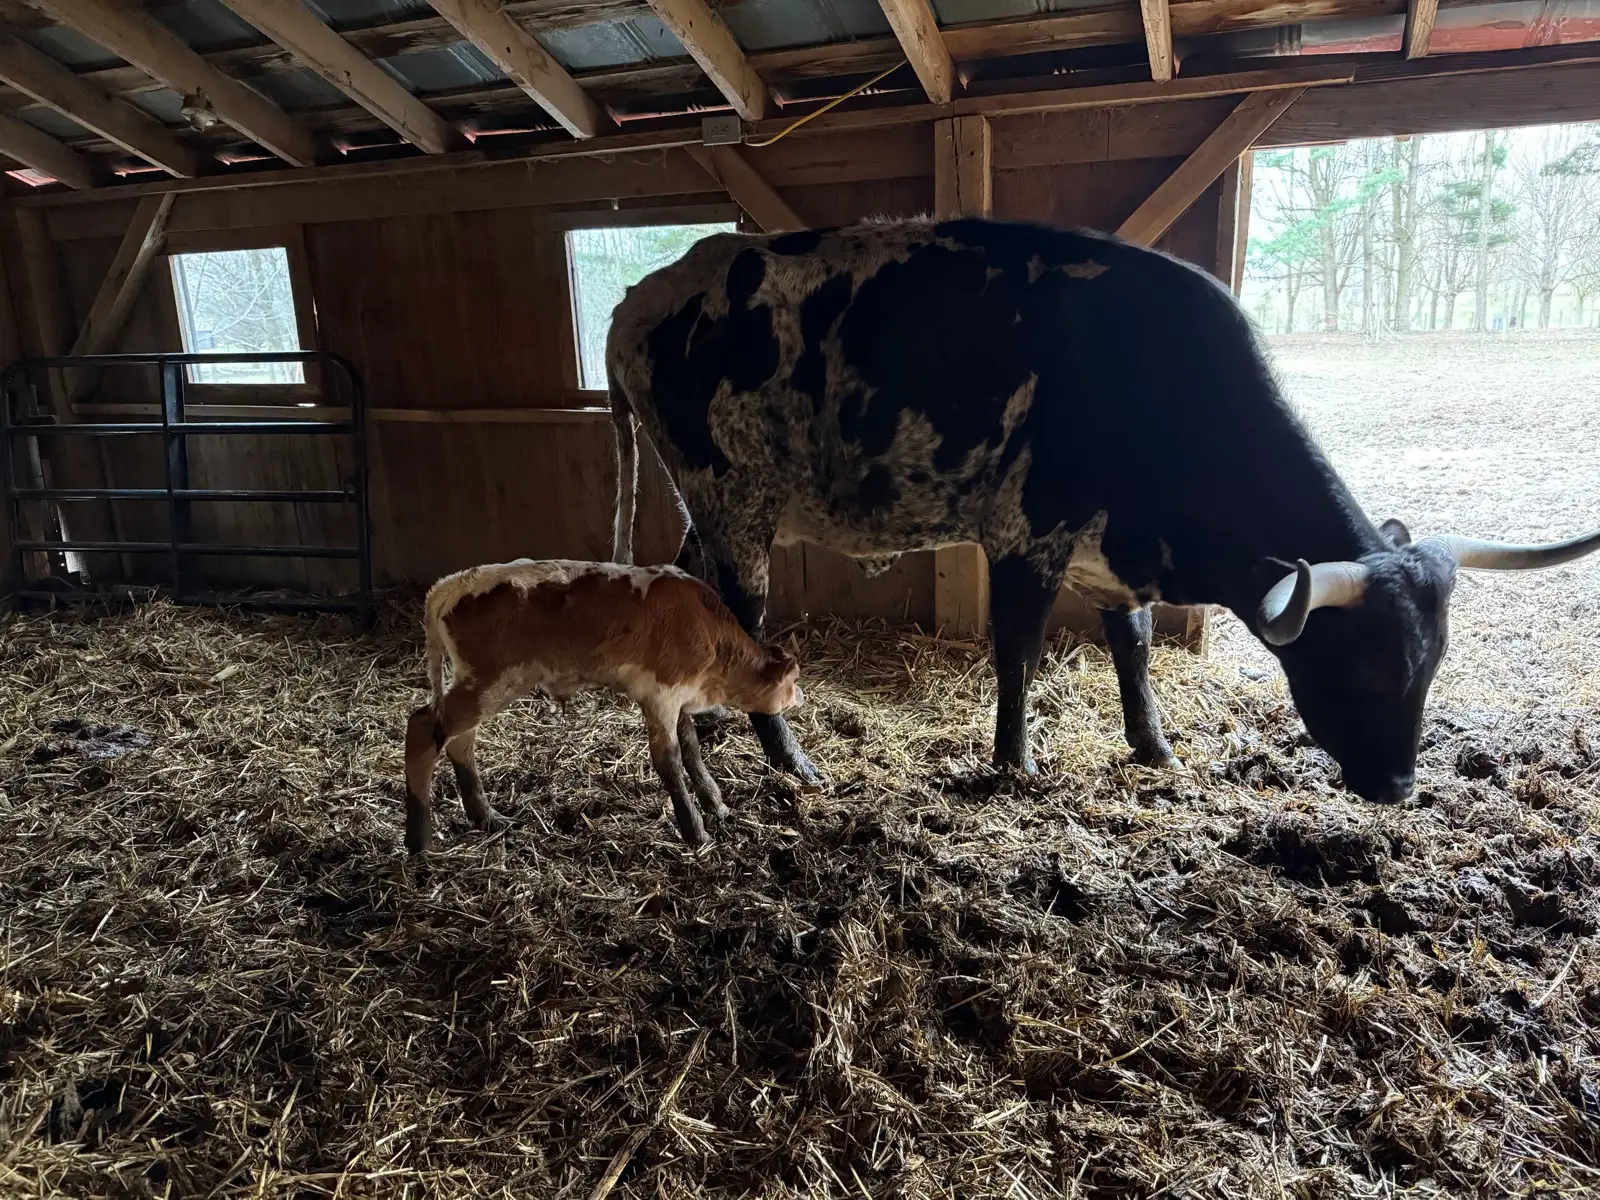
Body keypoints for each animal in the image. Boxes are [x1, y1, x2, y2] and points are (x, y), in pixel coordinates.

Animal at [402, 559, 802, 854]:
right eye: (793, 681)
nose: (799, 696)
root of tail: (449, 585)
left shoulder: (678, 699)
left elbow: (692, 750)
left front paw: (716, 804)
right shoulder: (660, 695)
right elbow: (670, 761)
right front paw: (695, 831)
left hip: (478, 683)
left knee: (459, 740)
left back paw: (486, 816)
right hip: (492, 681)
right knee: (424, 728)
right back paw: (419, 840)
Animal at [606, 217, 1600, 805]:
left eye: (1431, 666)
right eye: (1359, 665)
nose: (1396, 786)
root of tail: (645, 296)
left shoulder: (1116, 559)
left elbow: (1134, 649)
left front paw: (1153, 746)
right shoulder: (1024, 537)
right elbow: (1018, 655)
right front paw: (1015, 761)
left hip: (711, 509)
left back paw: (705, 723)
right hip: (736, 499)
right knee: (746, 617)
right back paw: (788, 758)